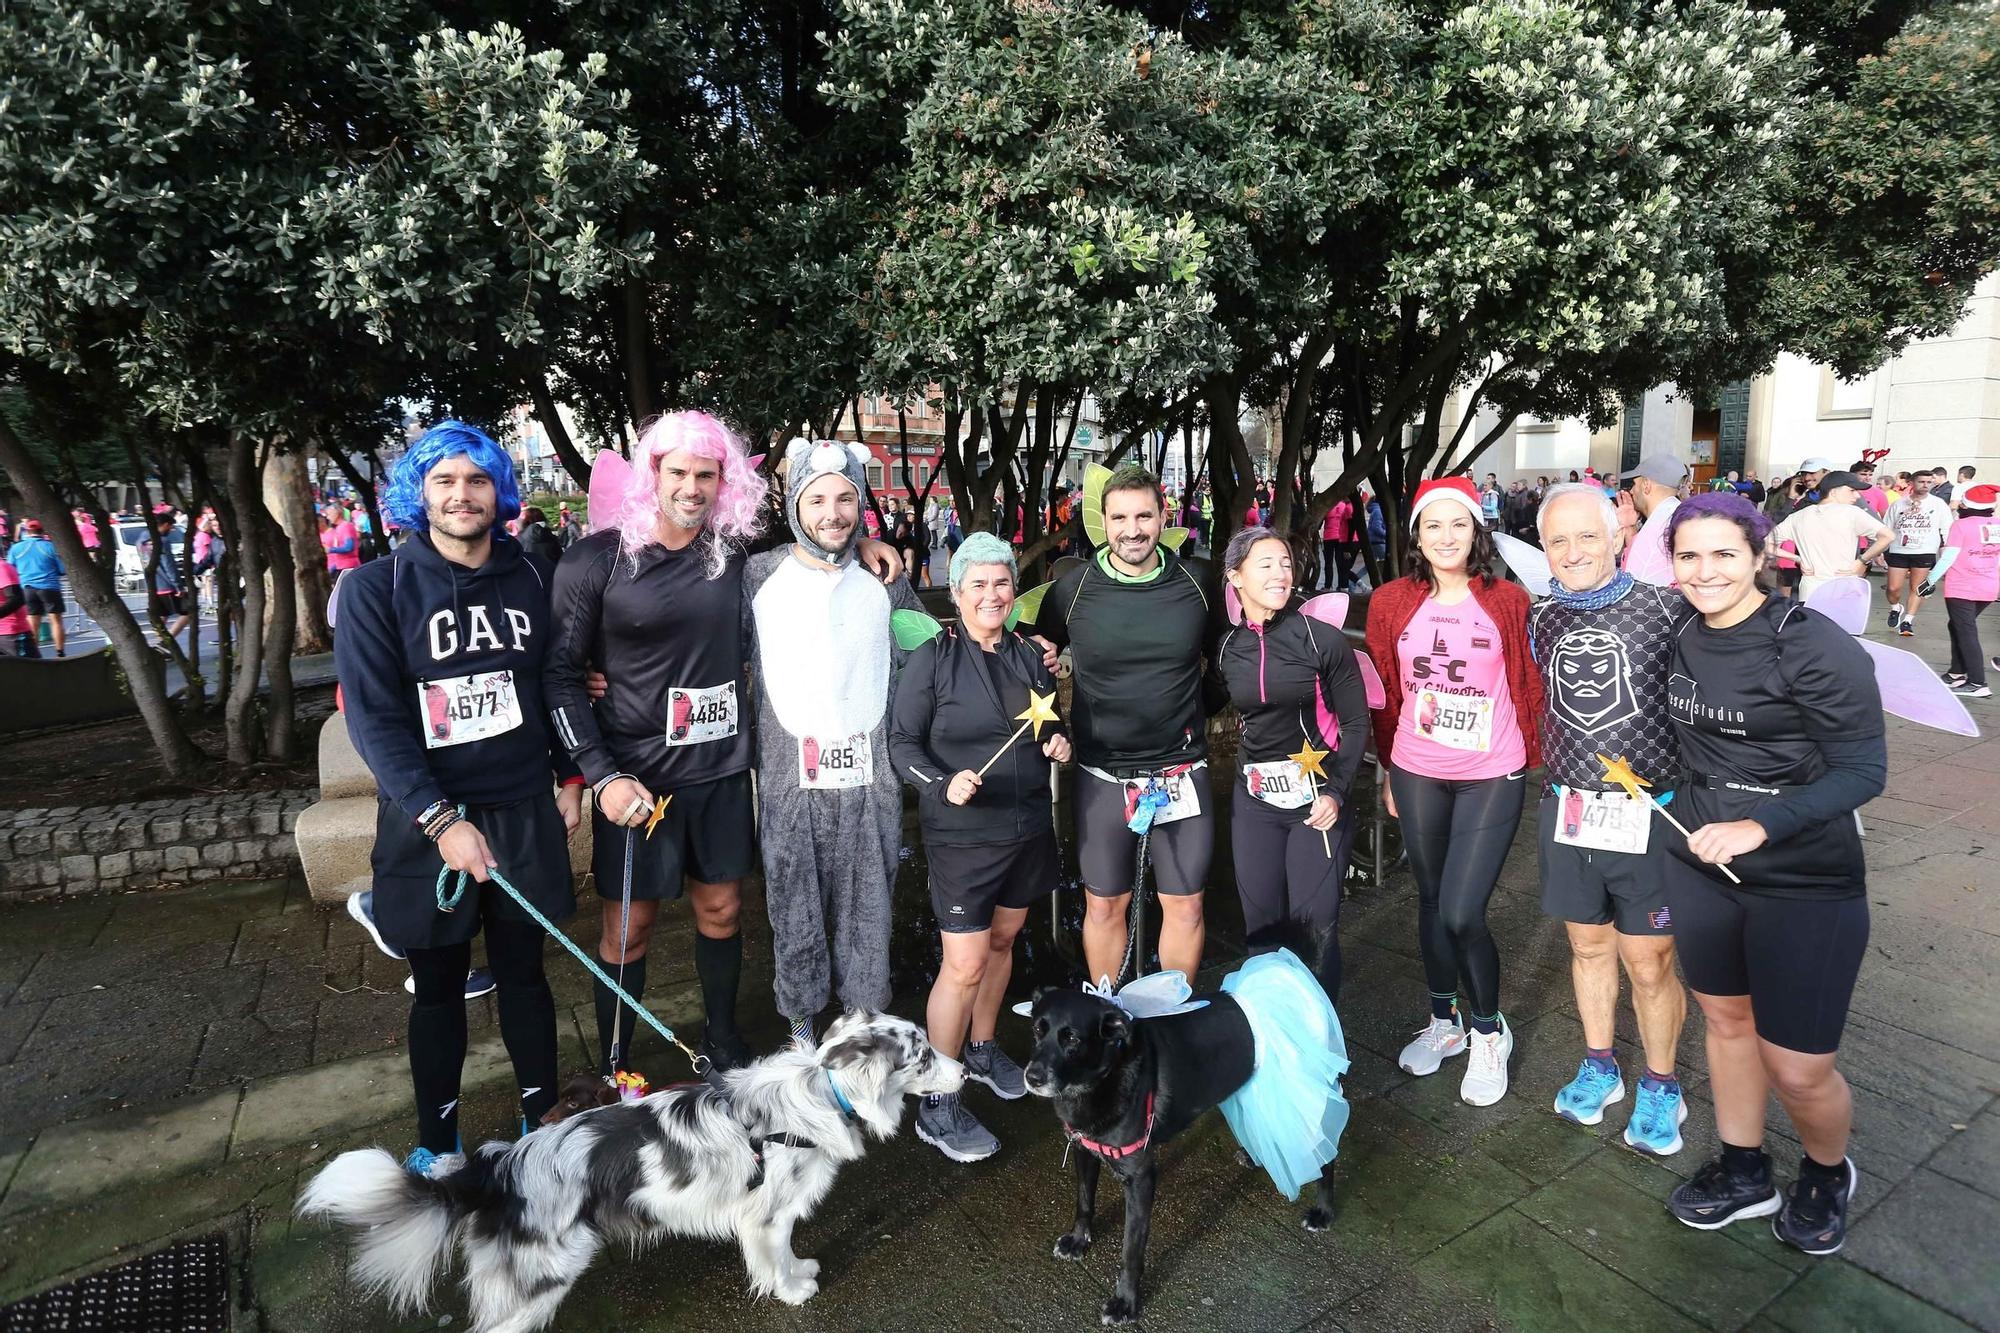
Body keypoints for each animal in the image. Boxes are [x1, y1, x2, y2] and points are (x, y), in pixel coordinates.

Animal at [292, 1008, 968, 1328]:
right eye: (922, 1056)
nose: (965, 1071)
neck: (816, 1094)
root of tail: (498, 1169)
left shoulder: (774, 1216)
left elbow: (790, 1251)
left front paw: (800, 1270)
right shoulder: (766, 1215)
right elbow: (773, 1261)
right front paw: (793, 1290)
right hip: (545, 1276)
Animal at [1024, 980, 1336, 1320]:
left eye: (1072, 1039)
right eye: (1037, 1029)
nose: (1032, 1077)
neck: (1103, 1079)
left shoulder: (1140, 1178)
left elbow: (1131, 1249)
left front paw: (1125, 1302)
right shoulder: (1083, 1150)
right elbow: (1083, 1202)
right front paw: (1078, 1241)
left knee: (1327, 1154)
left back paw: (1323, 1212)